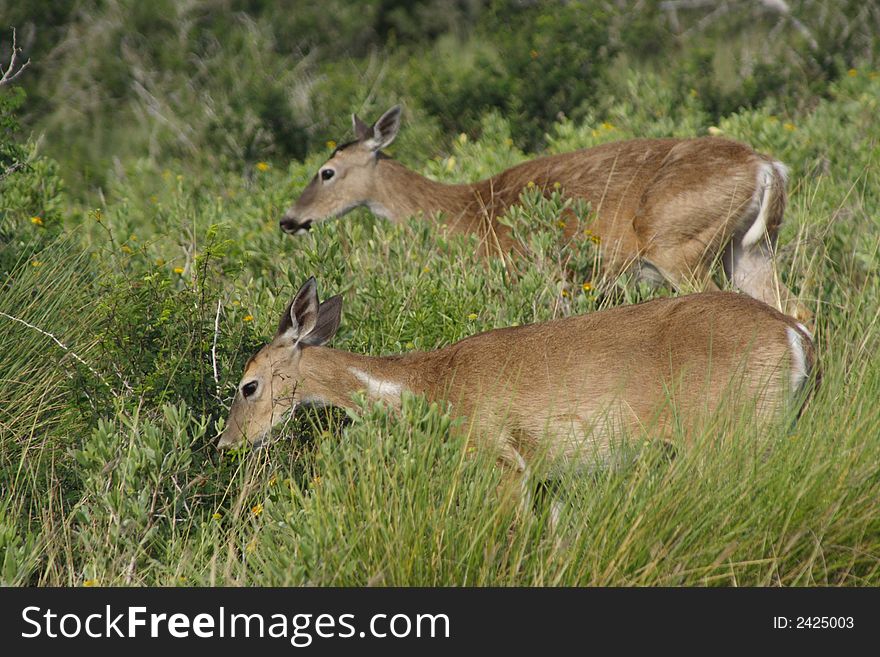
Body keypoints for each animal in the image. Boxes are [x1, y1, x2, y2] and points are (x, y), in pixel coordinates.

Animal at [217, 276, 816, 502]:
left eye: (247, 386)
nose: (225, 444)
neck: (430, 389)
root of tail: (795, 336)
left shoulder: (502, 459)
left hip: (732, 432)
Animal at [282, 107, 812, 320]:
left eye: (326, 171)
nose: (289, 219)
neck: (465, 212)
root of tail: (767, 166)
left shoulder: (523, 270)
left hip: (676, 244)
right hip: (751, 247)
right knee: (794, 307)